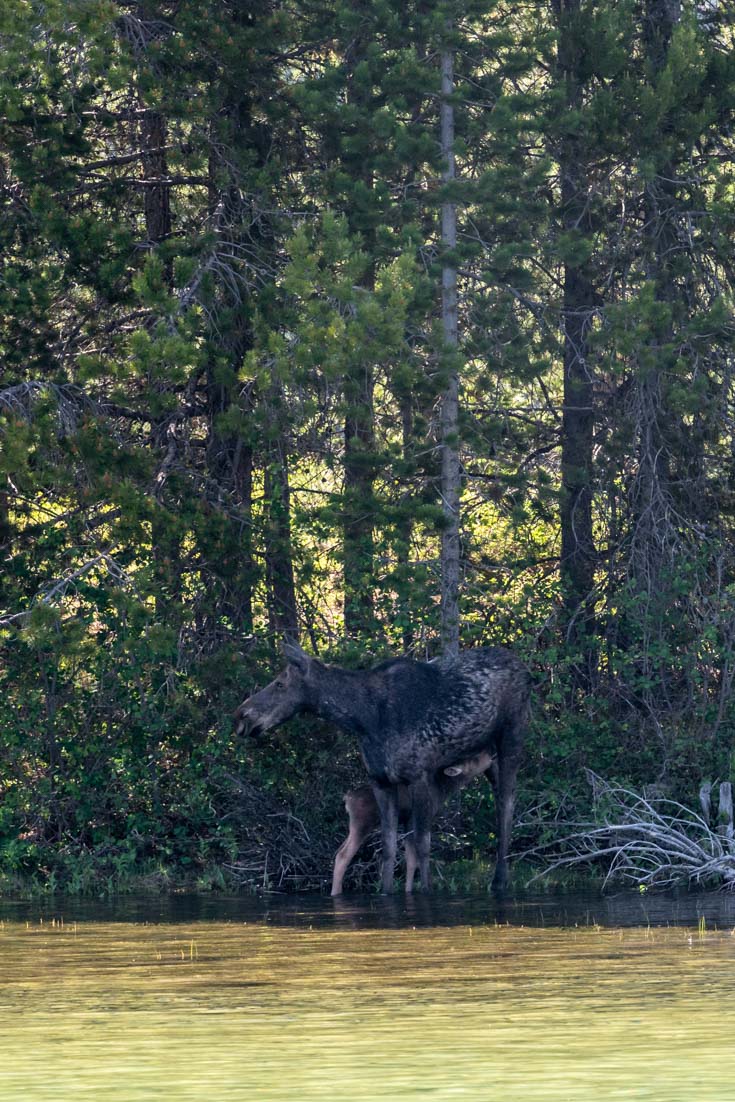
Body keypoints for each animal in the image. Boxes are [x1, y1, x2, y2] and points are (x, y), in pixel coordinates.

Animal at [331, 750, 495, 895]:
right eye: (474, 758)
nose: (491, 754)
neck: (442, 789)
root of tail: (347, 798)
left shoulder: (407, 822)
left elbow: (410, 859)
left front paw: (408, 891)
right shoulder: (421, 817)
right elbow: (418, 854)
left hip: (354, 826)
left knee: (338, 850)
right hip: (362, 823)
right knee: (343, 855)